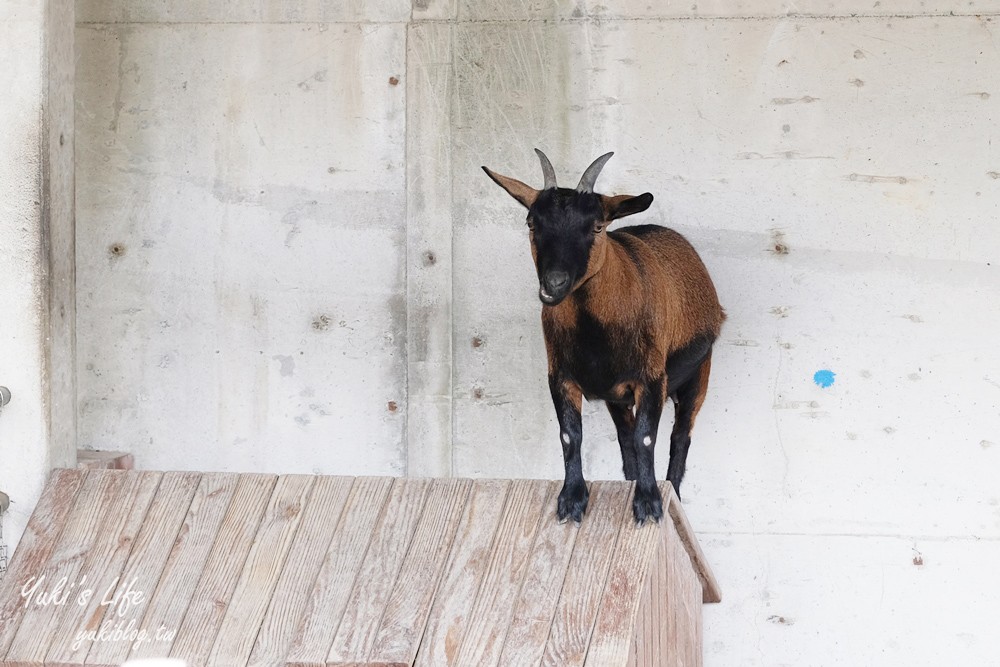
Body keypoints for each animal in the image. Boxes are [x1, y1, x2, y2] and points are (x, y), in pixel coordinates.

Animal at [480, 151, 724, 528]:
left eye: (597, 226)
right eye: (532, 223)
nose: (554, 284)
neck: (595, 336)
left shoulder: (652, 377)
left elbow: (647, 437)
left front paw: (649, 505)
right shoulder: (562, 377)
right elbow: (572, 435)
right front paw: (571, 501)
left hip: (698, 374)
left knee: (680, 435)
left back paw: (673, 494)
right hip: (618, 398)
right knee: (626, 440)